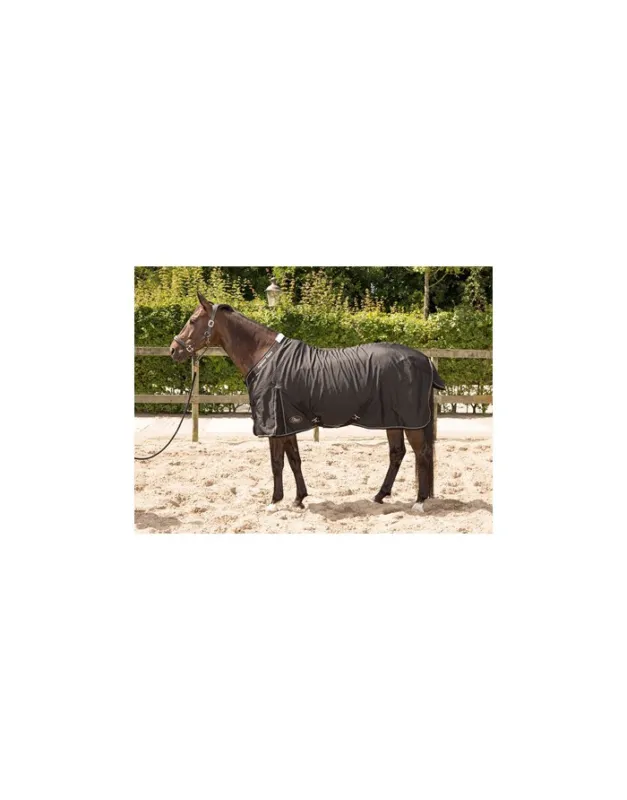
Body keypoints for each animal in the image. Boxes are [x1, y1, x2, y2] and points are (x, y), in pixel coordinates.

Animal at [170, 292, 445, 514]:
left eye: (192, 321)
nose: (174, 349)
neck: (264, 357)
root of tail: (424, 360)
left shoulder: (275, 425)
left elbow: (277, 463)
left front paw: (274, 501)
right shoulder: (287, 424)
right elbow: (294, 460)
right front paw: (299, 499)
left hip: (411, 421)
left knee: (422, 453)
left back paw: (419, 502)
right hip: (393, 420)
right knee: (397, 453)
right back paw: (379, 495)